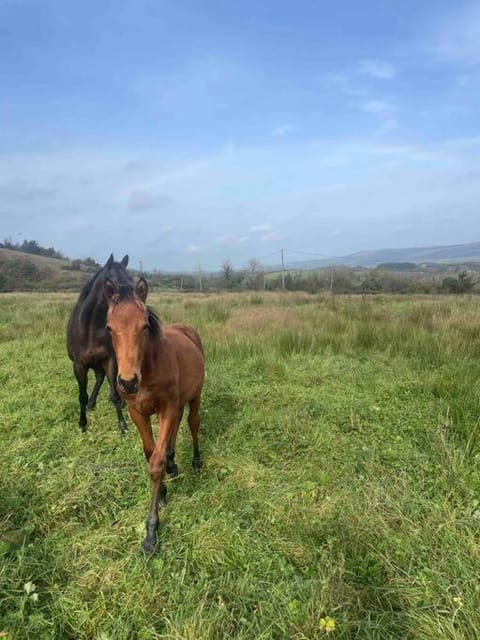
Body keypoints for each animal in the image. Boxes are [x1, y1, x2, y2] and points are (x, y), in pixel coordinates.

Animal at [65, 255, 132, 436]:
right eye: (113, 282)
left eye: (131, 281)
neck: (90, 329)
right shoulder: (79, 365)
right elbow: (82, 395)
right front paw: (82, 424)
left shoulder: (110, 360)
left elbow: (115, 394)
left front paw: (122, 426)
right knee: (99, 377)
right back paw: (91, 404)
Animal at [103, 276, 204, 556]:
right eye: (109, 328)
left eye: (145, 326)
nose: (127, 382)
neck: (147, 369)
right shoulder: (137, 411)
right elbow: (150, 452)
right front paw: (164, 491)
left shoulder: (166, 407)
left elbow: (155, 462)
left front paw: (151, 532)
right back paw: (173, 463)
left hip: (194, 396)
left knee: (192, 424)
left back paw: (196, 461)